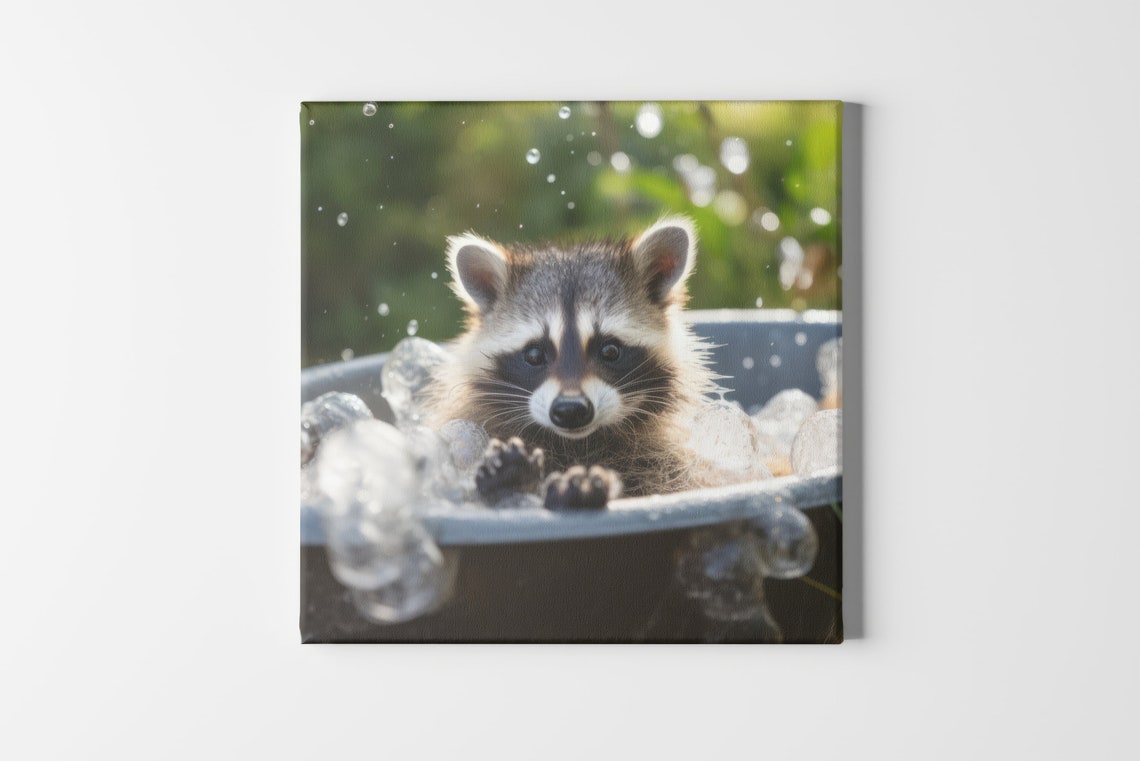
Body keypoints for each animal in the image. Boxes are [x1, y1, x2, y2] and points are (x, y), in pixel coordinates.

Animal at [428, 216, 718, 508]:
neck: (578, 443)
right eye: (534, 355)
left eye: (610, 350)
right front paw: (512, 476)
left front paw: (577, 487)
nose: (571, 410)